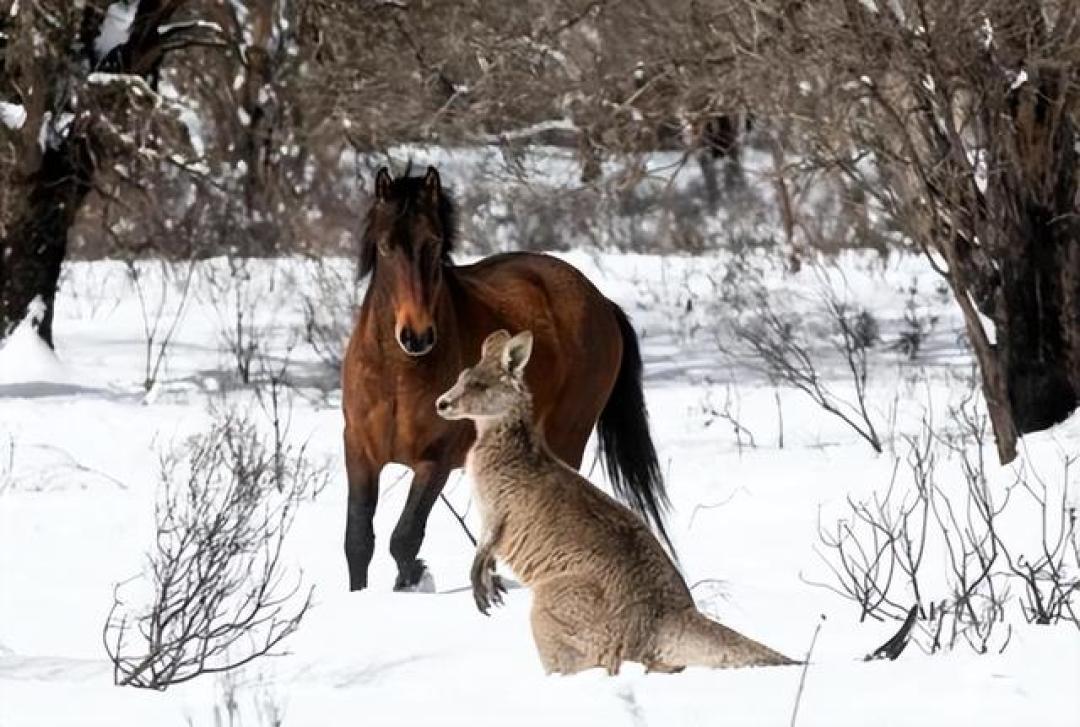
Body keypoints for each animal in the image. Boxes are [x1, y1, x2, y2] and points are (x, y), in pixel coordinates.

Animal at [341, 165, 671, 591]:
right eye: (384, 247)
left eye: (433, 242)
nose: (417, 336)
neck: (397, 375)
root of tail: (600, 301)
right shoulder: (359, 452)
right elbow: (358, 541)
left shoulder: (435, 461)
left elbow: (405, 538)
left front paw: (415, 578)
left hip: (568, 436)